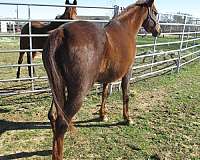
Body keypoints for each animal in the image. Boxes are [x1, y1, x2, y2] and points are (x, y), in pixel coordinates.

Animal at [42, 0, 161, 159]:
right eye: (155, 12)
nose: (158, 30)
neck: (126, 29)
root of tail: (61, 32)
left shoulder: (107, 77)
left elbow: (104, 94)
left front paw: (102, 115)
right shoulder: (127, 71)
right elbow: (126, 94)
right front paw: (127, 118)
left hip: (57, 87)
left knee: (53, 115)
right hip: (78, 92)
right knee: (62, 123)